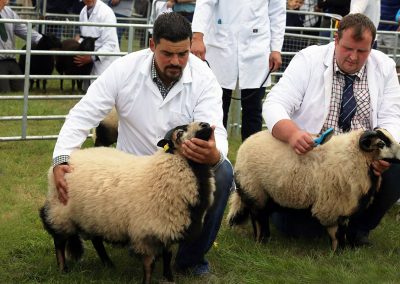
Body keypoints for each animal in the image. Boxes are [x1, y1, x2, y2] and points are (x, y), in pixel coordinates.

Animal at [39, 121, 216, 284]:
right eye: (179, 133)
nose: (206, 124)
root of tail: (68, 160)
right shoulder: (146, 233)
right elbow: (149, 265)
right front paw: (147, 281)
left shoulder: (168, 228)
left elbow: (167, 256)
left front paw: (169, 278)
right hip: (61, 212)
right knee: (59, 240)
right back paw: (63, 269)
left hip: (93, 215)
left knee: (96, 241)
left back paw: (108, 264)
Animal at [227, 129, 400, 251]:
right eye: (381, 144)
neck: (353, 157)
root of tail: (247, 141)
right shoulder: (333, 207)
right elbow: (337, 233)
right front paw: (338, 253)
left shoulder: (343, 209)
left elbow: (343, 230)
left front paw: (344, 251)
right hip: (256, 191)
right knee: (258, 217)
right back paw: (261, 241)